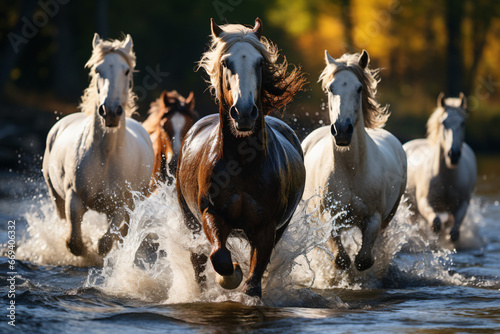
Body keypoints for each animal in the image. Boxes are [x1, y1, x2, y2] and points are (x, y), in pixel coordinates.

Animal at [42, 34, 153, 258]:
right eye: (97, 70)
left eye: (126, 70)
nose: (110, 112)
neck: (106, 155)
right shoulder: (74, 199)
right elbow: (74, 242)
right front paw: (85, 249)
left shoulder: (120, 206)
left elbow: (105, 242)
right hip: (55, 196)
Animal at [176, 17, 308, 298]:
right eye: (226, 62)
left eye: (259, 63)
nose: (245, 112)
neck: (243, 164)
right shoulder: (211, 213)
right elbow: (220, 256)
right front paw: (230, 276)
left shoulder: (266, 227)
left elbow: (254, 279)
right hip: (189, 219)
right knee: (198, 261)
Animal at [302, 50, 408, 272]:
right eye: (330, 88)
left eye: (359, 88)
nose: (342, 130)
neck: (351, 171)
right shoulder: (329, 218)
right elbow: (341, 259)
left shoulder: (374, 218)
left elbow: (363, 260)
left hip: (388, 218)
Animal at [402, 92, 476, 241]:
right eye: (443, 123)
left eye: (463, 123)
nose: (453, 154)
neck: (446, 178)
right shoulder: (424, 202)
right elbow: (435, 223)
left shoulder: (462, 205)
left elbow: (454, 233)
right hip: (412, 207)